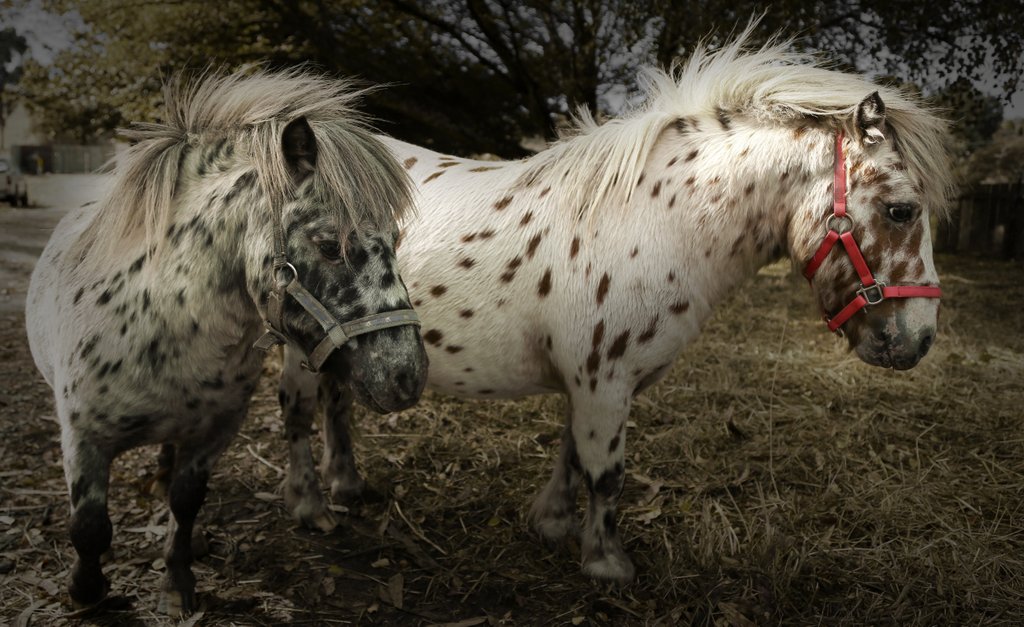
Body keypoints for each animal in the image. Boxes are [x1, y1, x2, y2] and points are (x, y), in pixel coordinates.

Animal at [25, 68, 428, 615]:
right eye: (329, 246)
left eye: (396, 239)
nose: (407, 375)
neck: (157, 326)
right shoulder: (83, 439)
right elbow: (89, 527)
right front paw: (86, 593)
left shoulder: (213, 433)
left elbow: (186, 501)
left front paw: (178, 582)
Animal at [274, 30, 953, 584]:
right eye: (901, 210)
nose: (918, 340)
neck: (654, 221)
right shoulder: (604, 379)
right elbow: (606, 472)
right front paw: (606, 562)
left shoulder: (595, 382)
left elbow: (573, 454)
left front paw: (552, 523)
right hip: (295, 345)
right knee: (298, 411)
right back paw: (309, 508)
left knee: (337, 400)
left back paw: (347, 486)